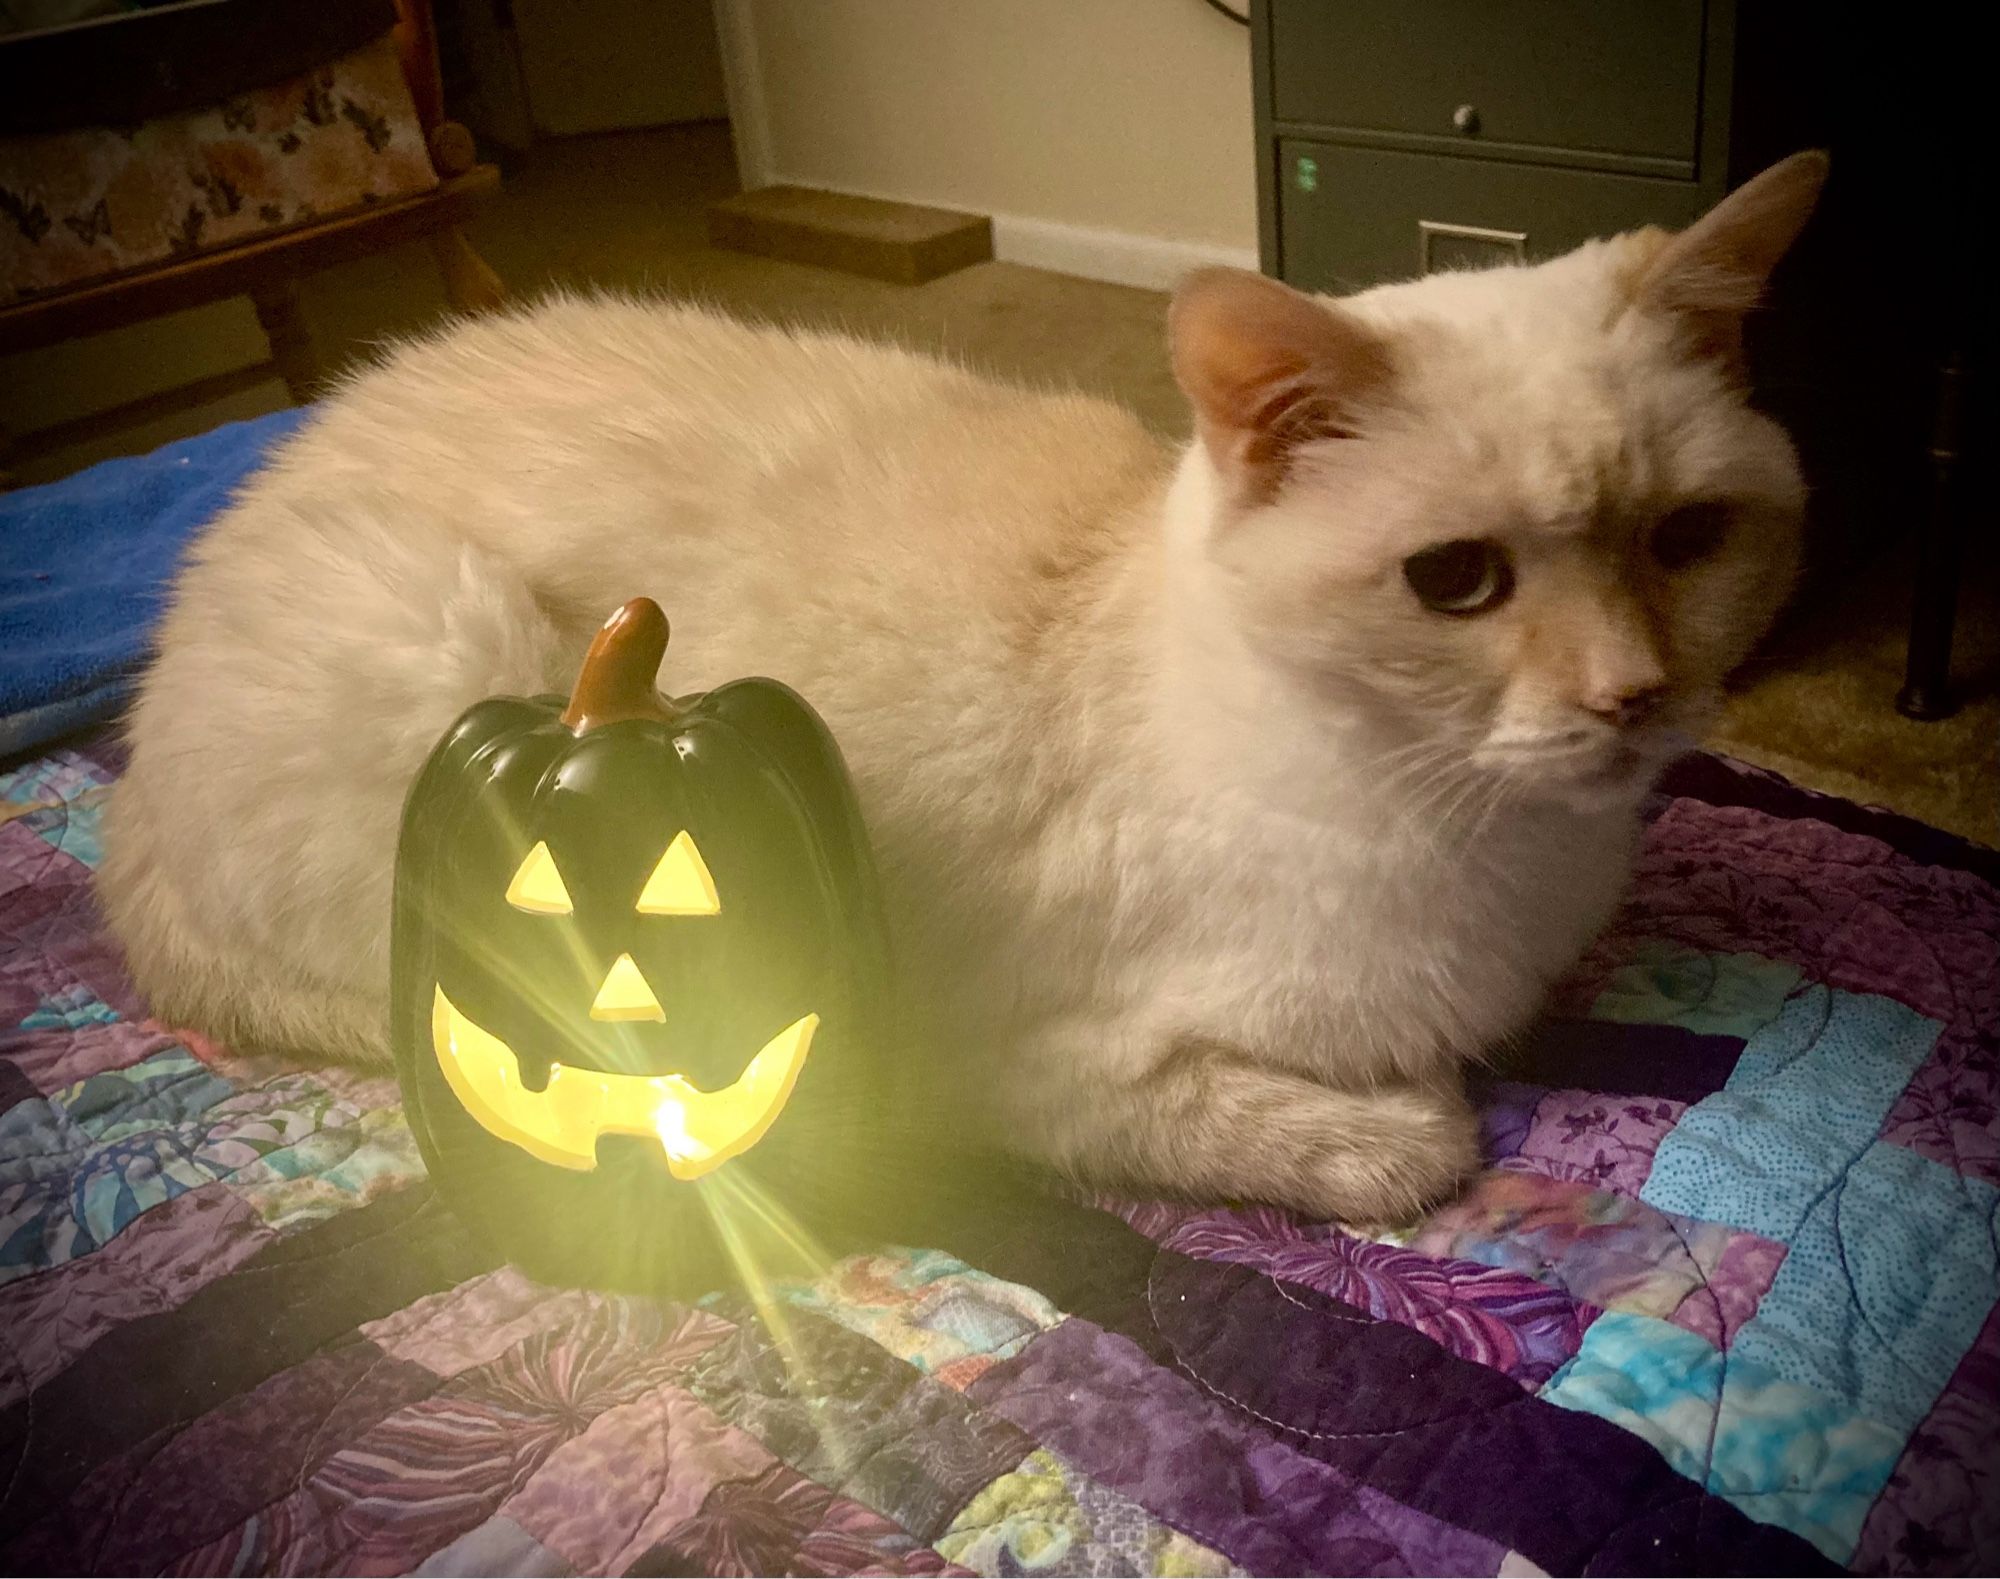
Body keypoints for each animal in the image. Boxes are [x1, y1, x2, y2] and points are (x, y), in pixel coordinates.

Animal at [97, 154, 1832, 1223]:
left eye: (1688, 539)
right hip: (441, 655)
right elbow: (1392, 1138)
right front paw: (1411, 1122)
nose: (1632, 696)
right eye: (1458, 581)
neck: (1498, 851)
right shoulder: (1000, 1054)